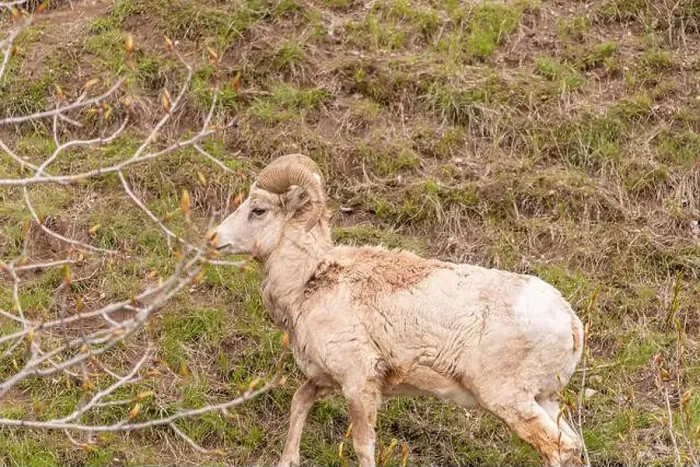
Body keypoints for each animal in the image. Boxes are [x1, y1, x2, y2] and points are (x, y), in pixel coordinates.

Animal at [208, 154, 584, 467]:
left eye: (258, 210)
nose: (214, 238)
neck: (308, 281)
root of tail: (571, 323)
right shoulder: (325, 379)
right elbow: (299, 403)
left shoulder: (359, 383)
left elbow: (363, 447)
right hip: (545, 398)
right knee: (573, 446)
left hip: (509, 400)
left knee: (558, 448)